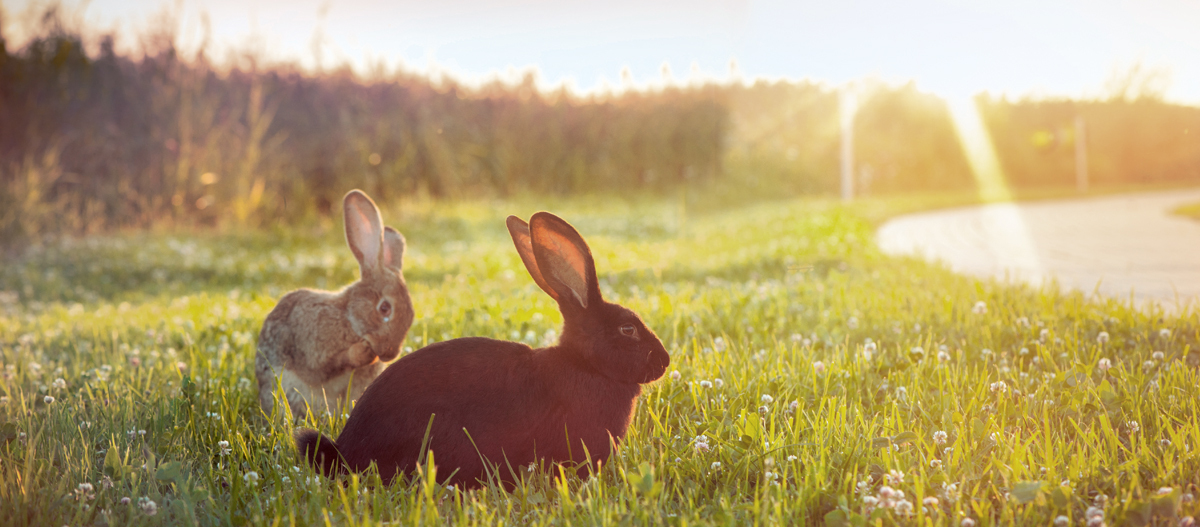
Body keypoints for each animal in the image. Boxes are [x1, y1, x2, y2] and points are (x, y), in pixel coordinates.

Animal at [256, 189, 415, 418]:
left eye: (411, 316)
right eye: (385, 308)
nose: (389, 354)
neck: (349, 318)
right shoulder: (315, 350)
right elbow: (330, 365)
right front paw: (364, 352)